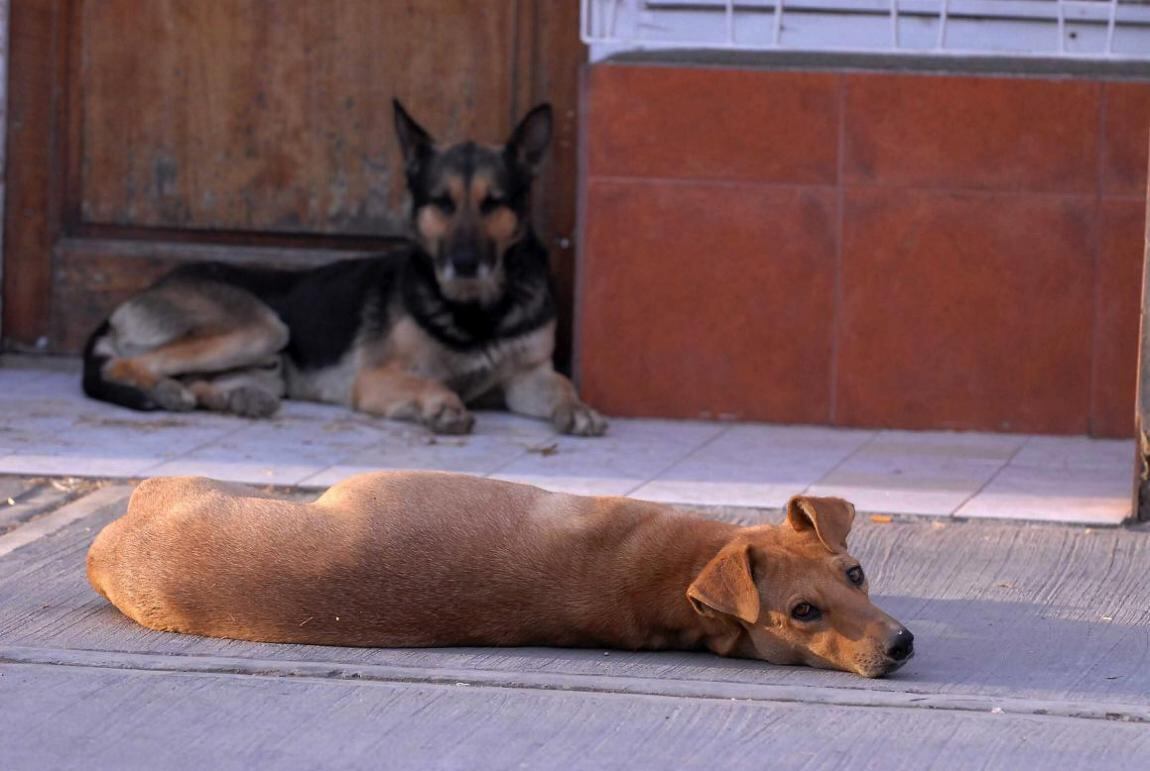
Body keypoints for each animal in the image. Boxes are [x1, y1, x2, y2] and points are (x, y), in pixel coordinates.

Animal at [82, 101, 607, 437]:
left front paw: (577, 408)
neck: (475, 311)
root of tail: (131, 301)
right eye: (441, 202)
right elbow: (430, 381)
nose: (464, 265)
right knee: (127, 363)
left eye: (493, 203)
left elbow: (562, 384)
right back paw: (166, 391)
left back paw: (235, 399)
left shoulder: (527, 377)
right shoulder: (372, 379)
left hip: (268, 364)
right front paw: (440, 405)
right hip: (259, 327)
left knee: (198, 379)